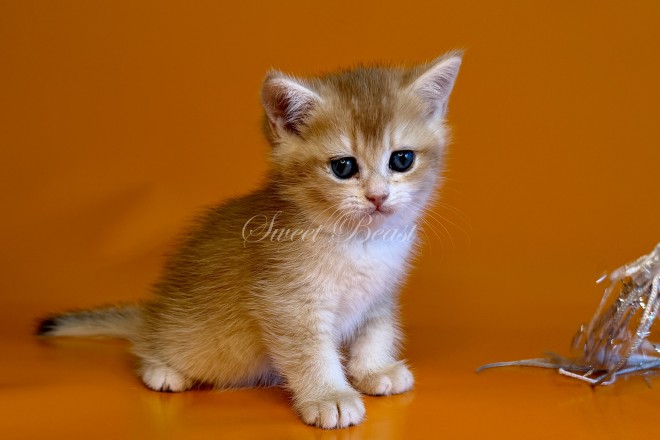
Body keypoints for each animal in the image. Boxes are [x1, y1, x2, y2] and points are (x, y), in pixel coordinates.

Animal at [37, 51, 462, 429]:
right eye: (343, 167)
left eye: (401, 160)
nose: (378, 196)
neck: (359, 242)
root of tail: (152, 312)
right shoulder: (287, 301)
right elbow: (311, 354)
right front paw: (329, 398)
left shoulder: (380, 293)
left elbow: (375, 331)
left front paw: (375, 370)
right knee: (146, 346)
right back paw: (162, 369)